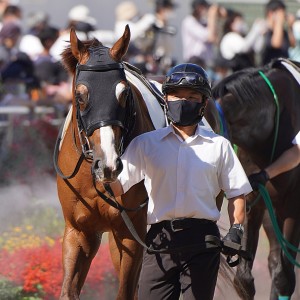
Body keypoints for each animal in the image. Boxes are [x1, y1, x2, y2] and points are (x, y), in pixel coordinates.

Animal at [54, 25, 220, 298]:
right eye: (80, 96)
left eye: (124, 93)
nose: (108, 165)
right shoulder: (79, 231)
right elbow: (68, 289)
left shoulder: (131, 233)